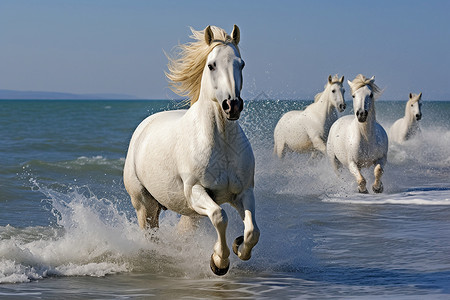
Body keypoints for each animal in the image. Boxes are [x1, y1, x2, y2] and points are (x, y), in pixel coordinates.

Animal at [123, 25, 260, 276]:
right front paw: (219, 262)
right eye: (211, 65)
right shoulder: (196, 191)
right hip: (143, 204)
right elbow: (219, 216)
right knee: (149, 232)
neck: (221, 143)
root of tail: (144, 126)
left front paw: (239, 247)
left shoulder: (243, 192)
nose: (232, 105)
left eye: (241, 64)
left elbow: (252, 230)